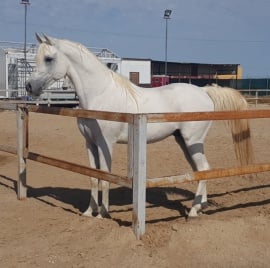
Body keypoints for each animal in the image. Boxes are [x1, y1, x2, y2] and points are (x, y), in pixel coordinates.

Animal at [25, 34, 253, 218]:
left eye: (49, 58)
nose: (29, 86)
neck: (99, 95)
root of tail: (204, 91)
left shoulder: (106, 144)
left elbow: (105, 177)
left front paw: (103, 214)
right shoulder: (90, 143)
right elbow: (93, 177)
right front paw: (89, 212)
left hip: (193, 141)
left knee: (204, 168)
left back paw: (194, 211)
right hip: (184, 142)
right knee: (200, 170)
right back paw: (200, 206)